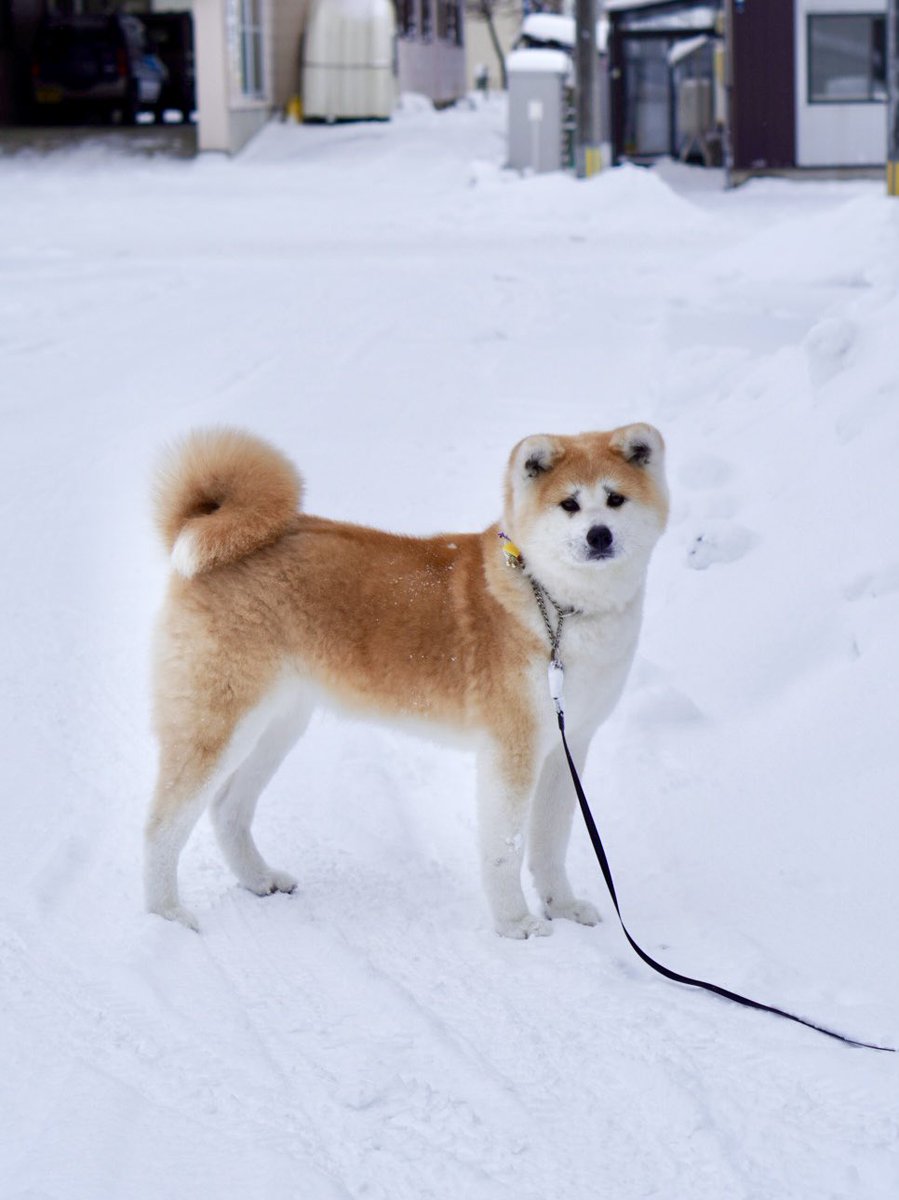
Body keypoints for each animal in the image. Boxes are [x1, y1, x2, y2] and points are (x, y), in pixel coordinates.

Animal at [145, 427, 667, 940]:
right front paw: (515, 922)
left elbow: (550, 841)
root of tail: (208, 531)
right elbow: (506, 847)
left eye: (615, 499)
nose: (599, 535)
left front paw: (562, 907)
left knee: (227, 808)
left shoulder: (567, 745)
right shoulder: (512, 750)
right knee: (161, 824)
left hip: (278, 724)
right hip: (219, 722)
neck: (557, 608)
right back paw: (166, 915)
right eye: (569, 504)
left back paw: (258, 879)